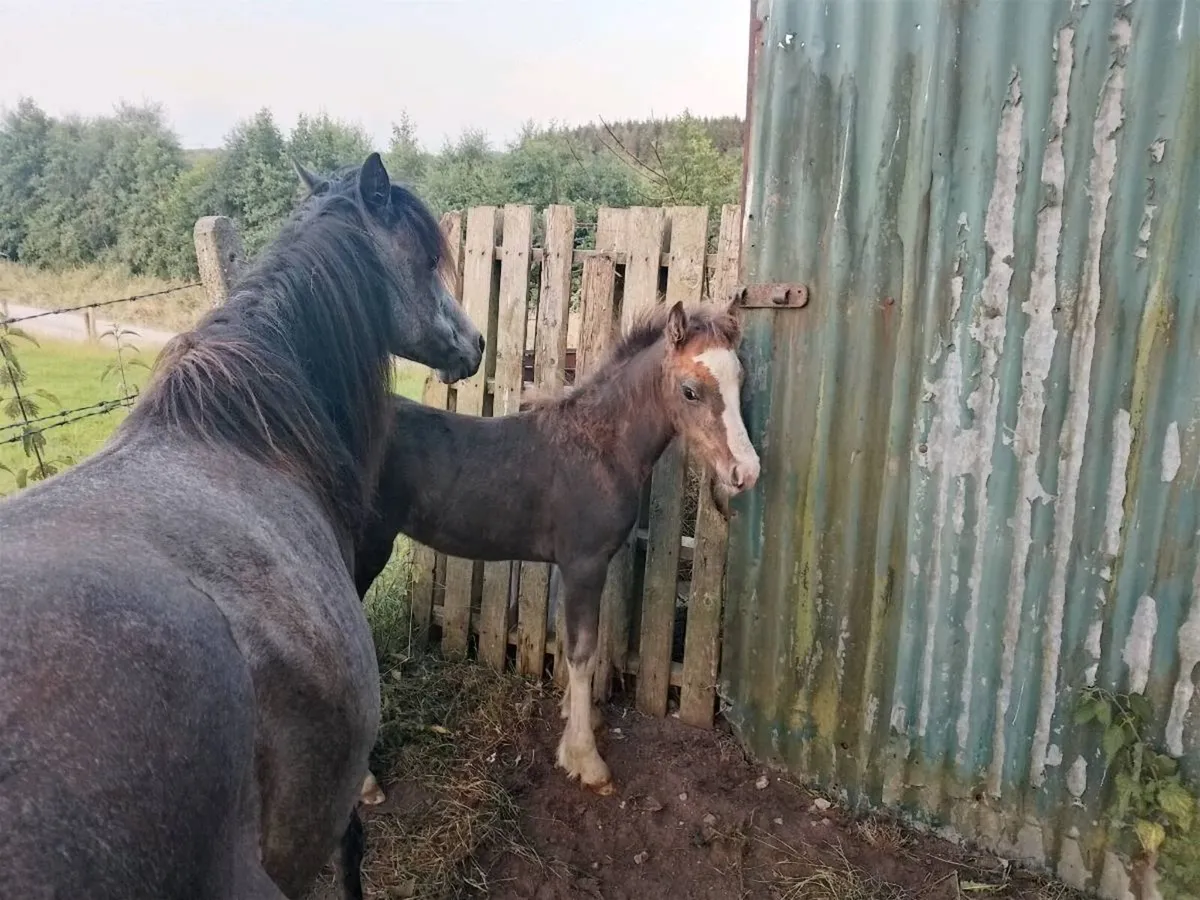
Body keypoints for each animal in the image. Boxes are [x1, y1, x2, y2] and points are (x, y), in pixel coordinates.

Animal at [353, 299, 760, 796]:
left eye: (740, 380)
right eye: (690, 391)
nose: (746, 472)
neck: (599, 446)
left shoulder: (578, 567)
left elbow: (576, 640)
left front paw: (578, 717)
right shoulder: (584, 563)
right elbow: (582, 651)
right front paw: (585, 758)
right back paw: (364, 781)